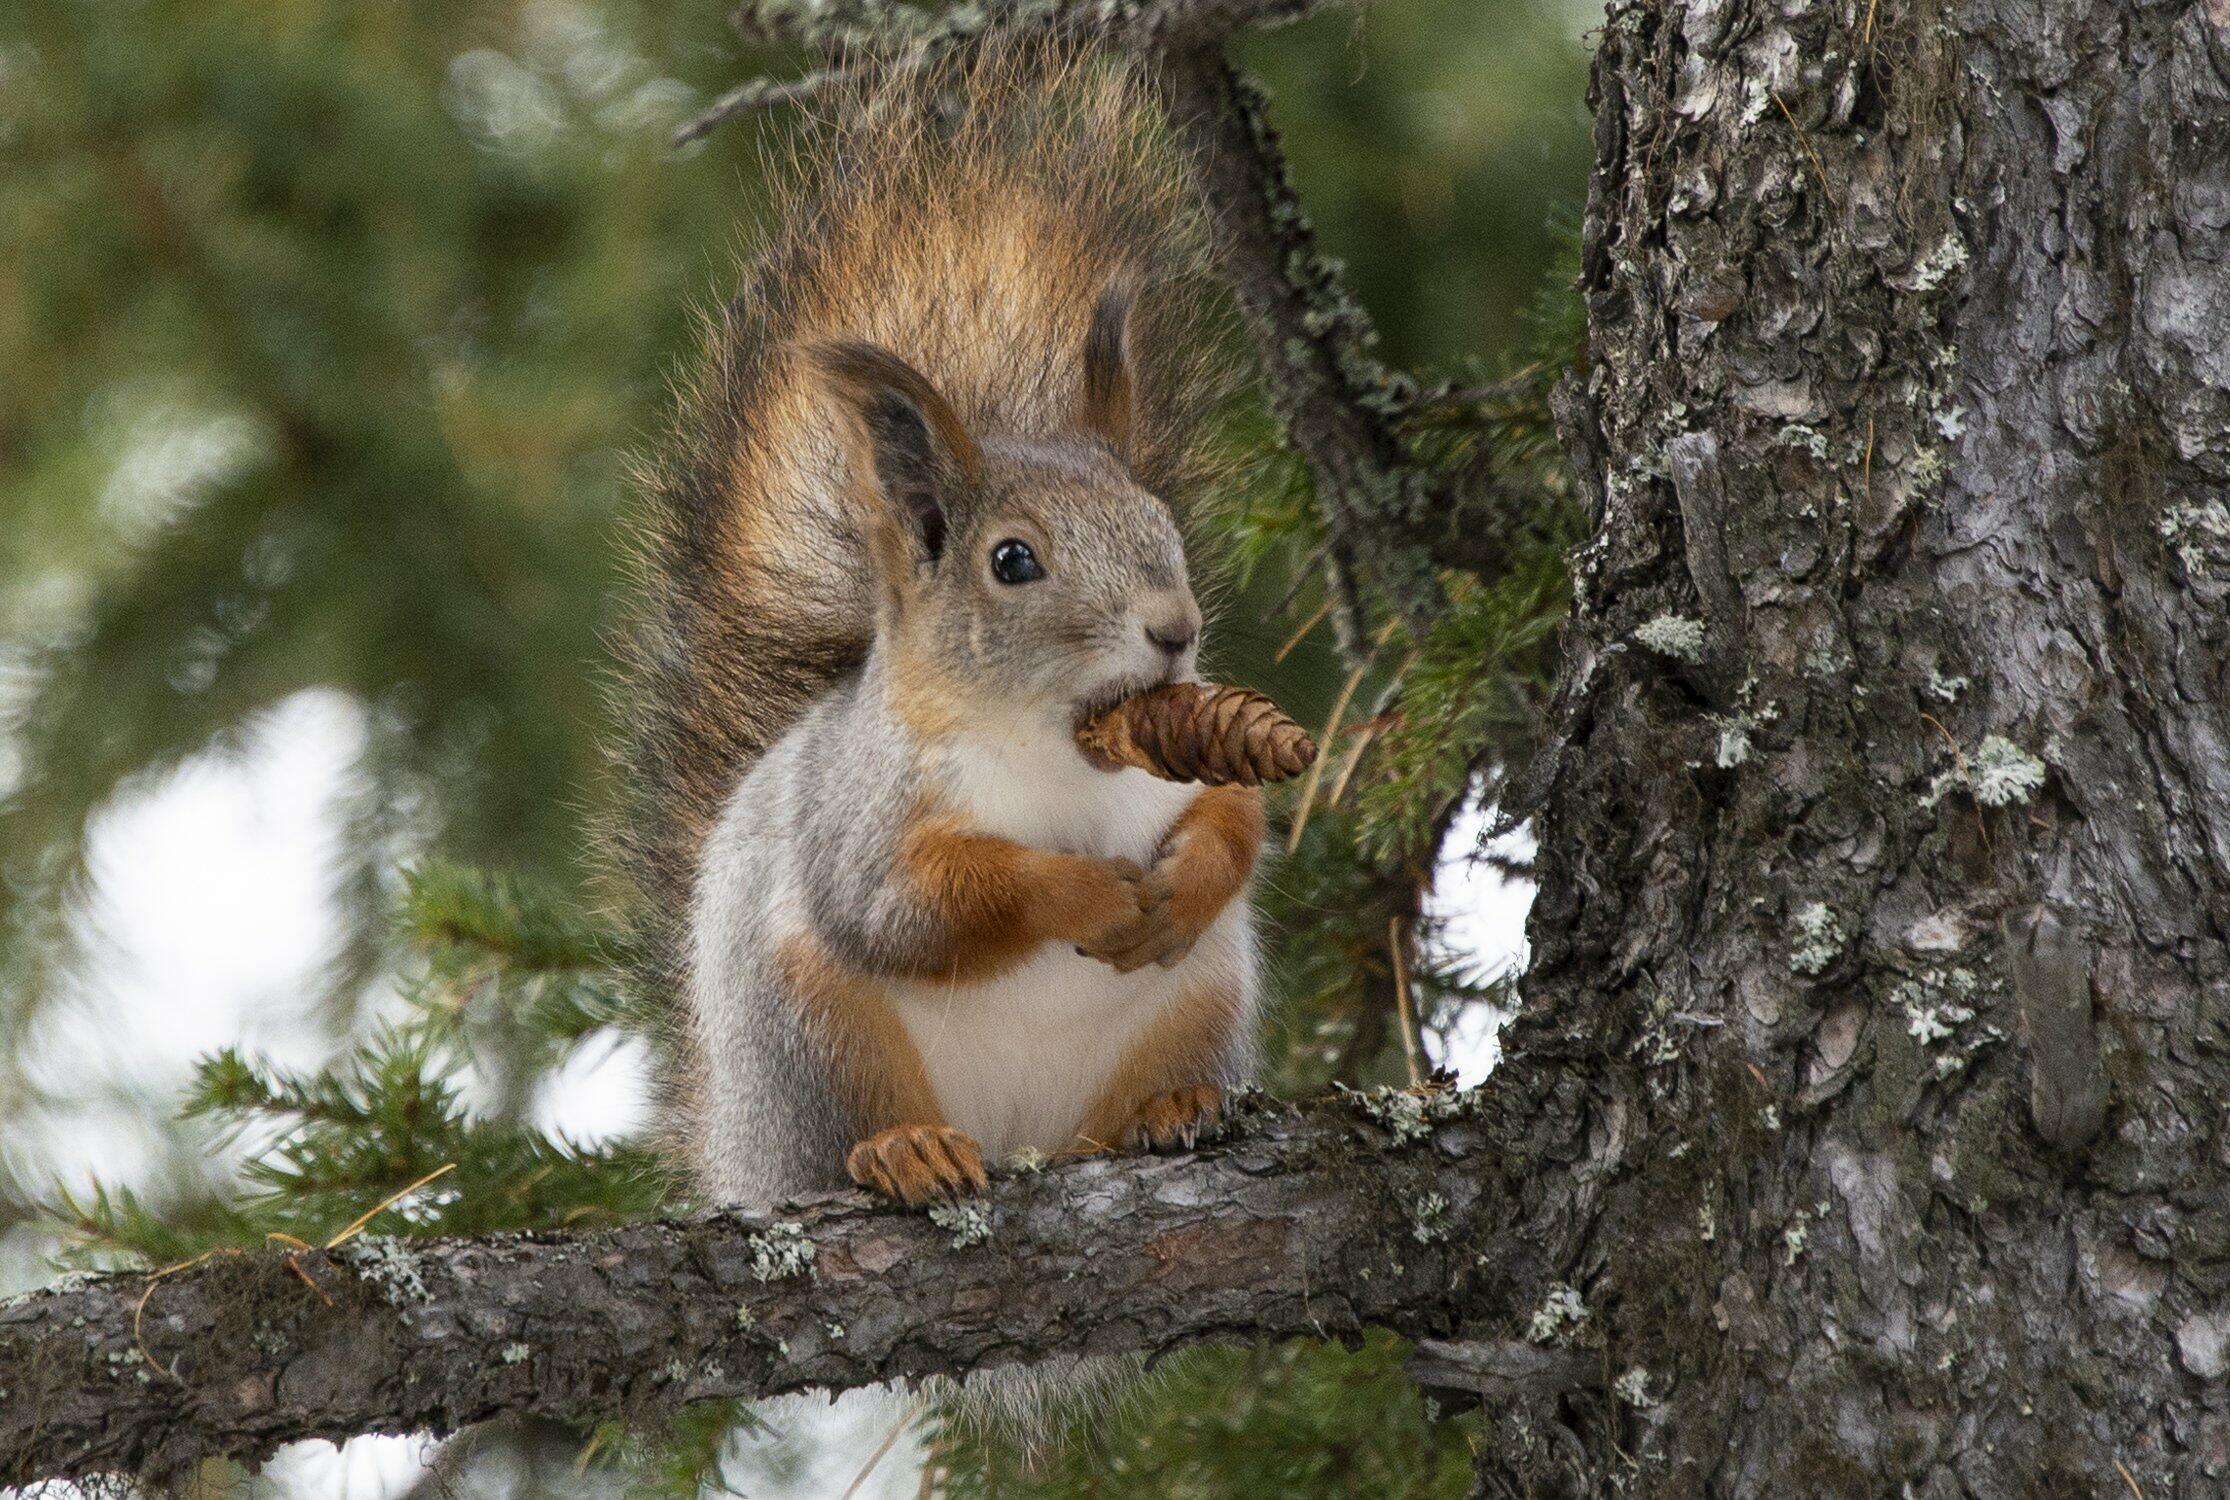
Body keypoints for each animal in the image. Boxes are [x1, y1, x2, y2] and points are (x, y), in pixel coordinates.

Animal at [619, 49, 1266, 1212]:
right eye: (1011, 561)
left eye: (1161, 524)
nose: (1175, 631)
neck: (1065, 753)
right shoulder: (864, 821)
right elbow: (922, 907)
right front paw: (1080, 890)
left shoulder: (1180, 761)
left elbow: (1238, 820)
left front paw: (1187, 876)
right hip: (815, 1032)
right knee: (846, 1125)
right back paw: (903, 1149)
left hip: (1198, 1005)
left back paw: (1169, 1109)